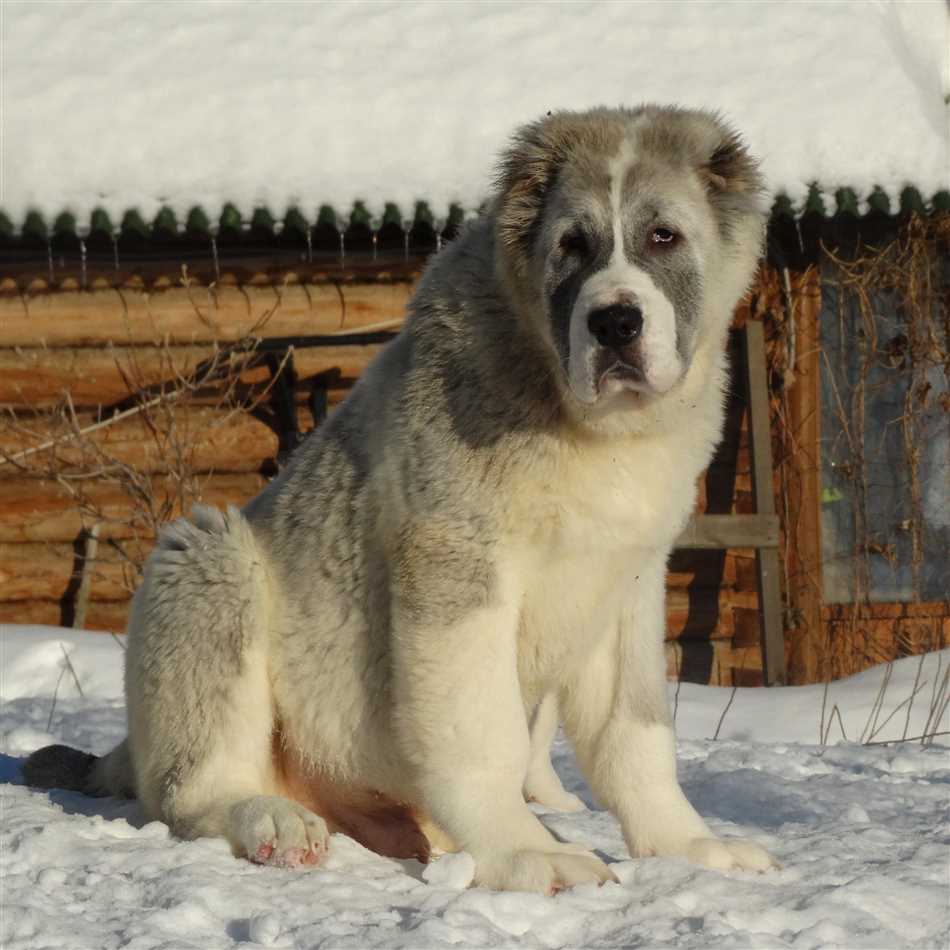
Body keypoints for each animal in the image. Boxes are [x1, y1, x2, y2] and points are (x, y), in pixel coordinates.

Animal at [26, 108, 776, 896]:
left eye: (663, 236)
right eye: (572, 245)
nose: (614, 324)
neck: (587, 425)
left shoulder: (622, 586)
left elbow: (634, 737)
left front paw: (689, 845)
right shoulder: (456, 566)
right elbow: (484, 736)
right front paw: (523, 853)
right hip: (206, 566)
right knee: (192, 789)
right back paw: (272, 822)